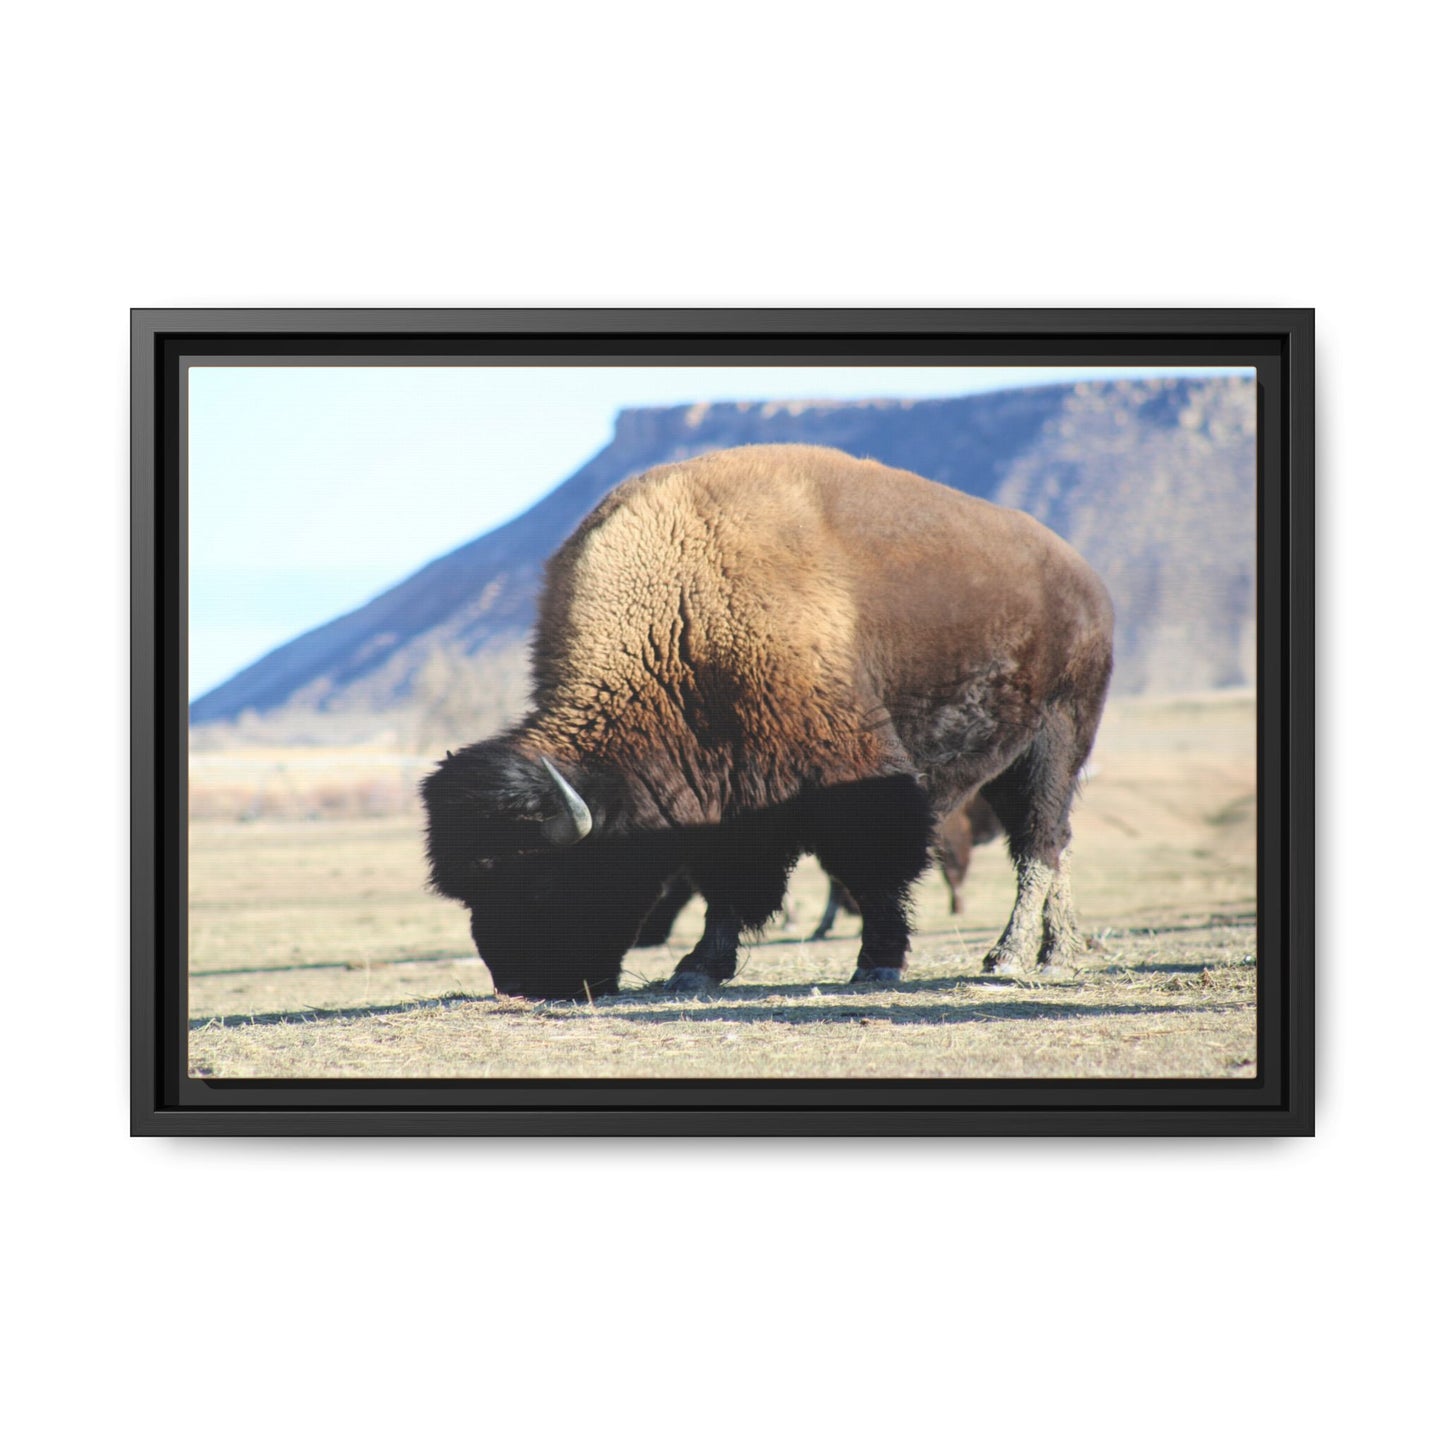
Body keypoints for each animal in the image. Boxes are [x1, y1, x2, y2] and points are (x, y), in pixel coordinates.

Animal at [422, 443, 1113, 1000]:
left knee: (1040, 842)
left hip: (1057, 740)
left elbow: (874, 868)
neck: (680, 618)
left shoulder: (851, 775)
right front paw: (696, 969)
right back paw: (1056, 951)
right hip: (1010, 760)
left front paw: (878, 963)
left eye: (539, 879)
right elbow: (728, 885)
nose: (522, 984)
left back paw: (1016, 957)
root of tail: (1084, 579)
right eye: (470, 891)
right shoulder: (725, 798)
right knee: (1052, 843)